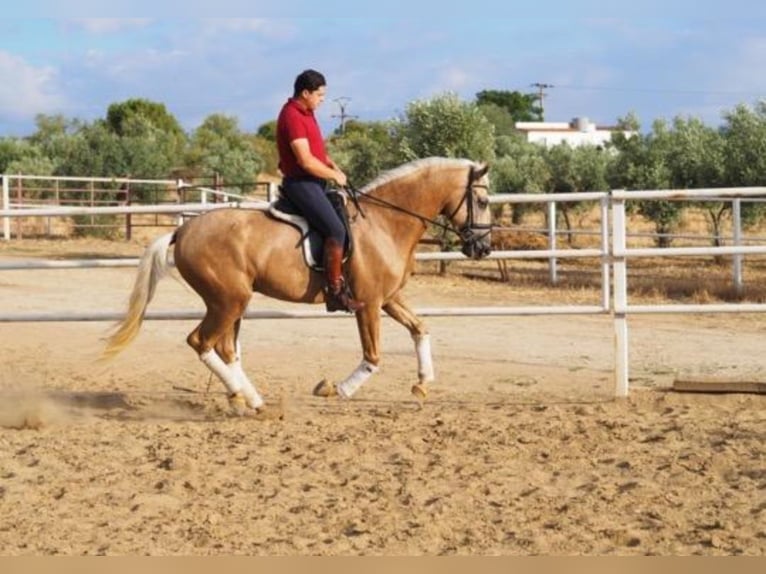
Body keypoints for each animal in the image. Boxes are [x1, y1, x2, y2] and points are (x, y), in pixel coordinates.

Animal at [103, 158, 492, 414]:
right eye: (483, 200)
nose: (483, 249)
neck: (385, 222)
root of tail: (183, 230)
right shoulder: (368, 303)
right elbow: (373, 356)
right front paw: (335, 388)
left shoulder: (389, 298)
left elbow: (420, 328)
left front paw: (423, 383)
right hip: (228, 301)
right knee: (201, 342)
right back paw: (248, 399)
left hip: (231, 302)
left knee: (226, 349)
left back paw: (249, 399)